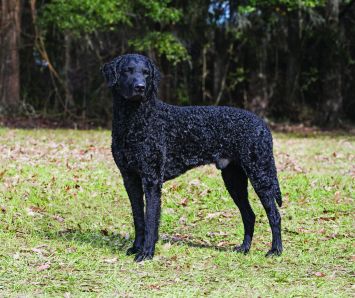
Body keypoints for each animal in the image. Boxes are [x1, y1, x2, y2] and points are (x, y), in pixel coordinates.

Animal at [102, 53, 284, 260]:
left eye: (146, 73)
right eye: (128, 71)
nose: (140, 87)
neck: (134, 120)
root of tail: (263, 124)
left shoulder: (152, 179)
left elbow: (150, 220)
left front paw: (147, 253)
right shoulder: (130, 178)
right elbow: (138, 217)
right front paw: (136, 248)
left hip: (260, 174)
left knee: (274, 214)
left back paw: (275, 250)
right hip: (234, 179)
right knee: (249, 215)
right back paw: (244, 248)